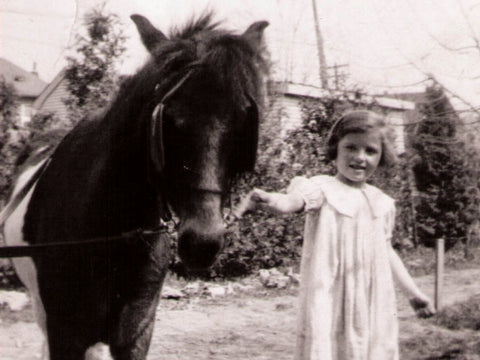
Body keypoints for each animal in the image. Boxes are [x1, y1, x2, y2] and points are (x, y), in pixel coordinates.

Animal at [1, 12, 268, 358]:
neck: (111, 235)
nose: (203, 241)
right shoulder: (64, 334)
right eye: (170, 119)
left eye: (243, 123)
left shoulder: (136, 332)